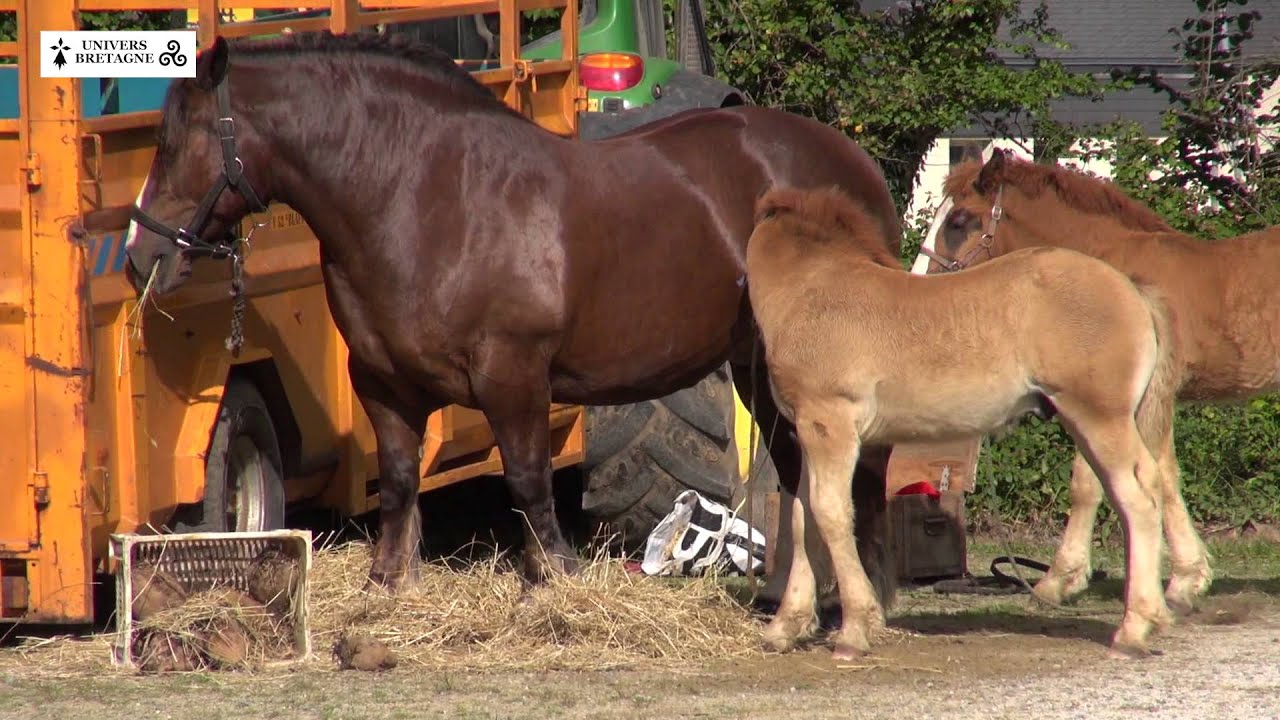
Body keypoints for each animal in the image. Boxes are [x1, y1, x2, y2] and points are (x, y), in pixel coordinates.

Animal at [122, 31, 902, 609]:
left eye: (176, 143)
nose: (142, 256)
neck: (423, 194)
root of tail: (851, 160)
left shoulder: (514, 377)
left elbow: (527, 483)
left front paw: (556, 584)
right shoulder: (381, 383)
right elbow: (399, 482)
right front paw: (386, 588)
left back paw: (869, 591)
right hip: (755, 363)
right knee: (800, 465)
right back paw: (791, 595)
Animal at [745, 186, 1181, 659]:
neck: (810, 290)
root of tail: (1132, 290)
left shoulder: (831, 425)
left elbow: (831, 515)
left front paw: (856, 628)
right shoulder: (807, 432)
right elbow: (803, 520)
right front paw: (785, 627)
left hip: (1102, 418)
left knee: (1139, 497)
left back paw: (1135, 627)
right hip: (1090, 422)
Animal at [913, 148, 1276, 613]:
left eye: (959, 220)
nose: (920, 281)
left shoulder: (1116, 401)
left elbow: (1102, 482)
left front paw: (1061, 580)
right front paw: (1187, 578)